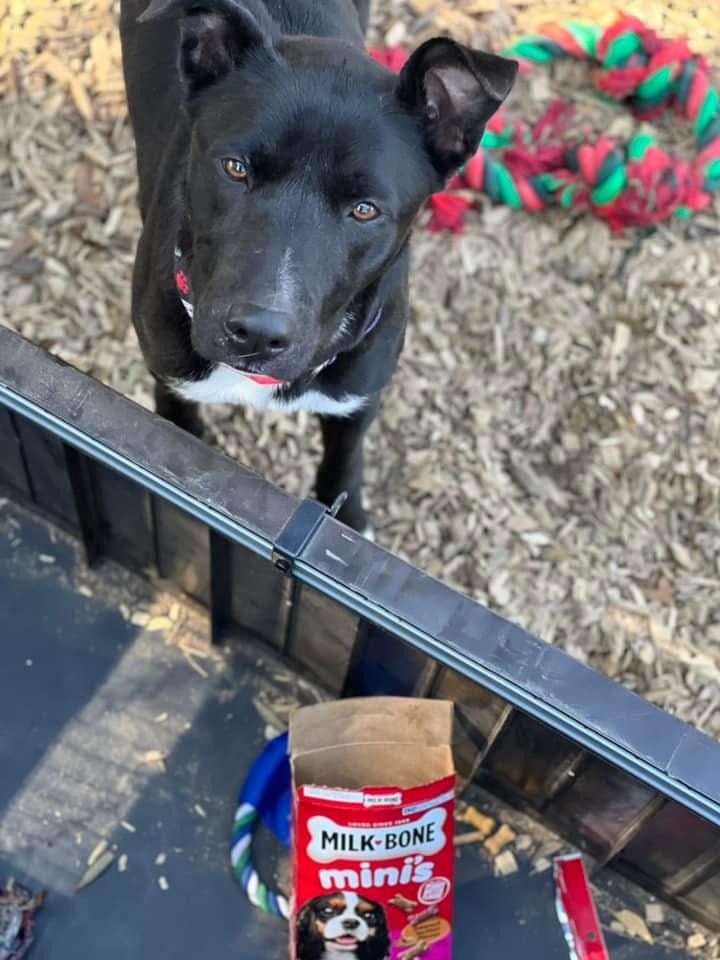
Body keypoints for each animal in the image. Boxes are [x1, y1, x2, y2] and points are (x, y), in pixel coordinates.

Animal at [121, 0, 516, 528]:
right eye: (236, 168)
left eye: (365, 210)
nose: (258, 333)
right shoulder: (171, 384)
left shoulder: (356, 399)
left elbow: (343, 465)